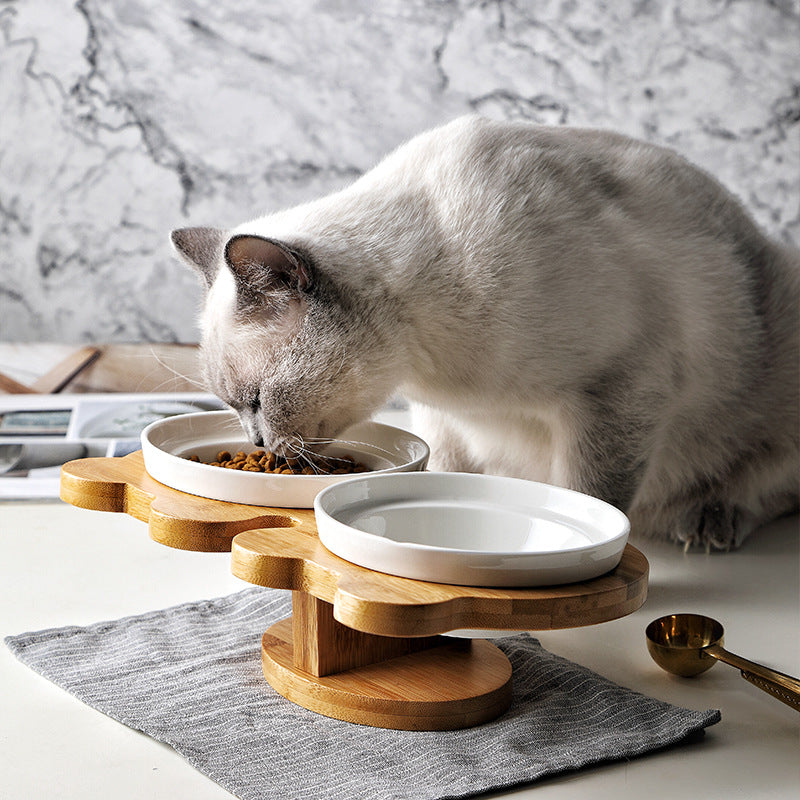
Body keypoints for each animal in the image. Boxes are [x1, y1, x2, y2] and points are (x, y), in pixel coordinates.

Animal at [172, 115, 796, 552]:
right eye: (234, 408)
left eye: (256, 401)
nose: (256, 444)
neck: (433, 362)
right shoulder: (444, 419)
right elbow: (447, 476)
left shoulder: (618, 390)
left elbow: (590, 498)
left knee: (769, 488)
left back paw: (711, 521)